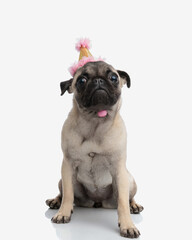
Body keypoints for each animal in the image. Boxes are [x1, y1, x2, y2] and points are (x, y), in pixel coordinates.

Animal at [45, 61, 143, 237]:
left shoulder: (119, 169)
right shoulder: (67, 165)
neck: (94, 121)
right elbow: (68, 195)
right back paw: (55, 201)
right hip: (62, 180)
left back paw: (134, 205)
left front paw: (127, 225)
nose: (98, 80)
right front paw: (63, 213)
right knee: (64, 193)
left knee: (128, 198)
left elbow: (122, 202)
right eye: (81, 80)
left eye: (113, 77)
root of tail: (97, 202)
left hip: (130, 180)